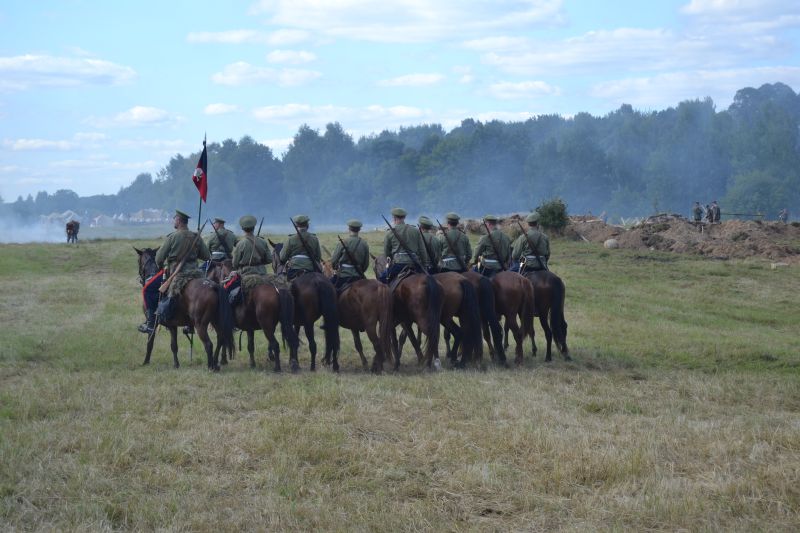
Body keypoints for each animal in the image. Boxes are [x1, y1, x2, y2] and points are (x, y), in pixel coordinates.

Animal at [272, 243, 340, 372]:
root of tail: (318, 282)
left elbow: (293, 339)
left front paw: (293, 362)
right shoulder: (297, 321)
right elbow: (296, 336)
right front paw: (294, 361)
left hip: (309, 323)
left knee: (313, 345)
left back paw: (312, 367)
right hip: (330, 318)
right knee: (333, 339)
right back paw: (335, 366)